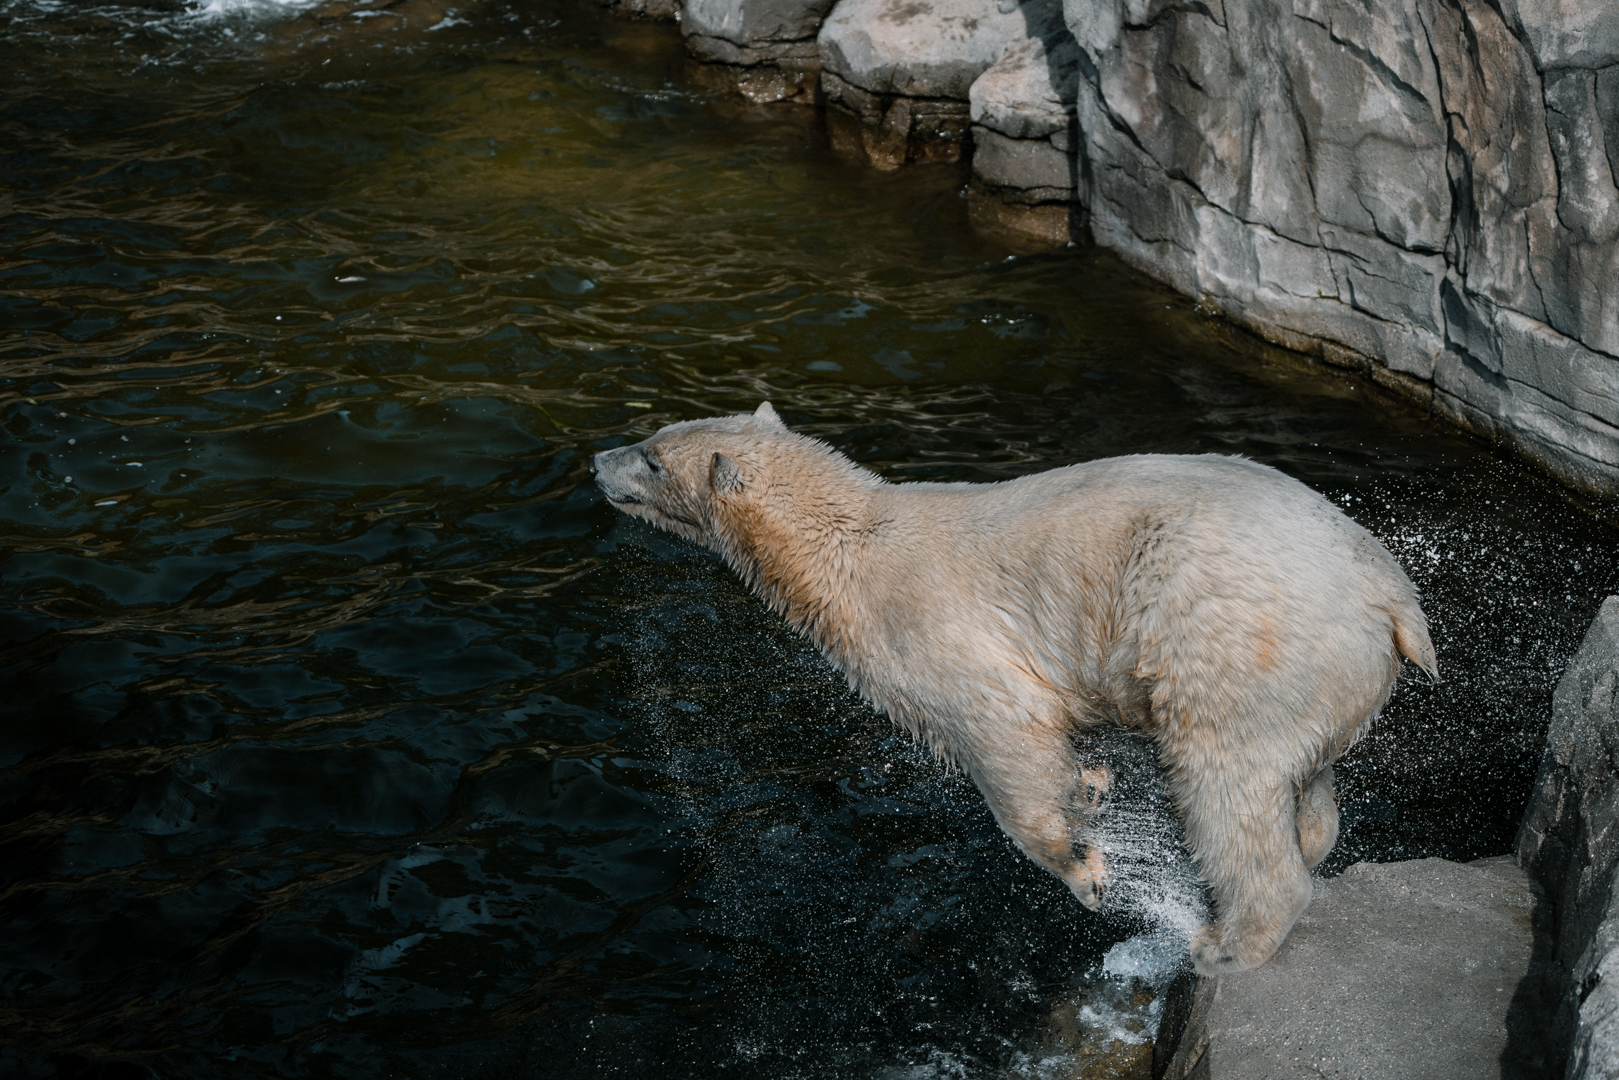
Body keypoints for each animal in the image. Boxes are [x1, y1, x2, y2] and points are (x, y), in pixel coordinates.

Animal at [591, 402, 1437, 974]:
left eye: (652, 457)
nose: (597, 459)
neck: (848, 545)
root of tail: (1390, 596)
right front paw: (1091, 788)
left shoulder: (935, 629)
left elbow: (1007, 737)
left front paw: (1086, 871)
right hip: (1316, 672)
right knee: (1302, 777)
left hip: (1231, 639)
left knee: (1227, 781)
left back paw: (1222, 944)